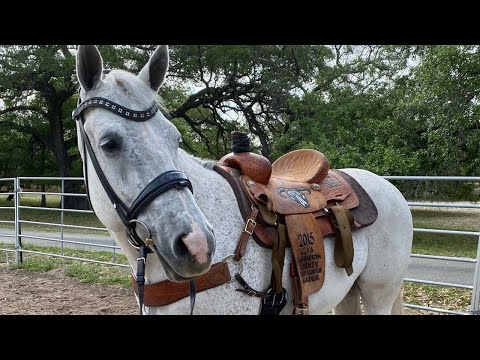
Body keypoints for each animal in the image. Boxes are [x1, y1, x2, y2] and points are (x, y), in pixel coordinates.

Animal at [74, 44, 412, 316]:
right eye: (109, 144)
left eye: (175, 138)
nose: (197, 245)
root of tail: (388, 187)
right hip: (347, 294)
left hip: (379, 295)